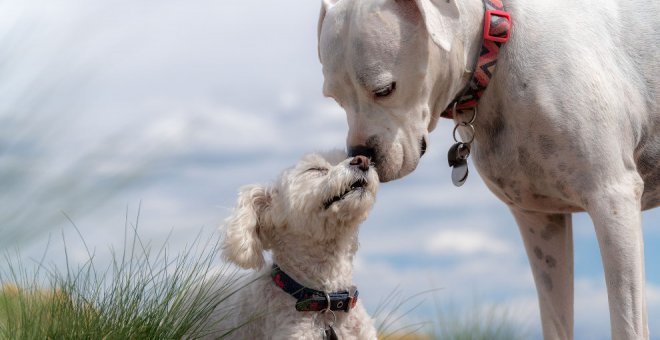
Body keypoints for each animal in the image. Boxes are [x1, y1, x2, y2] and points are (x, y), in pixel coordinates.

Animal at [318, 0, 656, 338]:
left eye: (385, 89)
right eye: (335, 99)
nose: (361, 155)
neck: (496, 50)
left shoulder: (612, 199)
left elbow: (628, 322)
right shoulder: (540, 221)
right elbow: (556, 320)